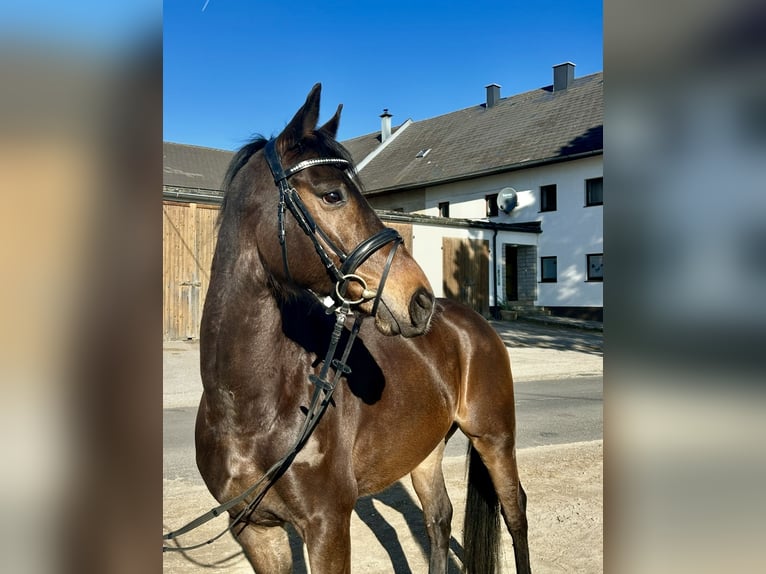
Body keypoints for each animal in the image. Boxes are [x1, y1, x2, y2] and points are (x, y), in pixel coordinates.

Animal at [195, 83, 532, 572]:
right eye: (333, 195)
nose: (419, 299)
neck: (250, 405)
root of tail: (474, 324)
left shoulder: (328, 528)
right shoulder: (254, 532)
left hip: (495, 439)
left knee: (515, 513)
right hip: (425, 448)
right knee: (439, 518)